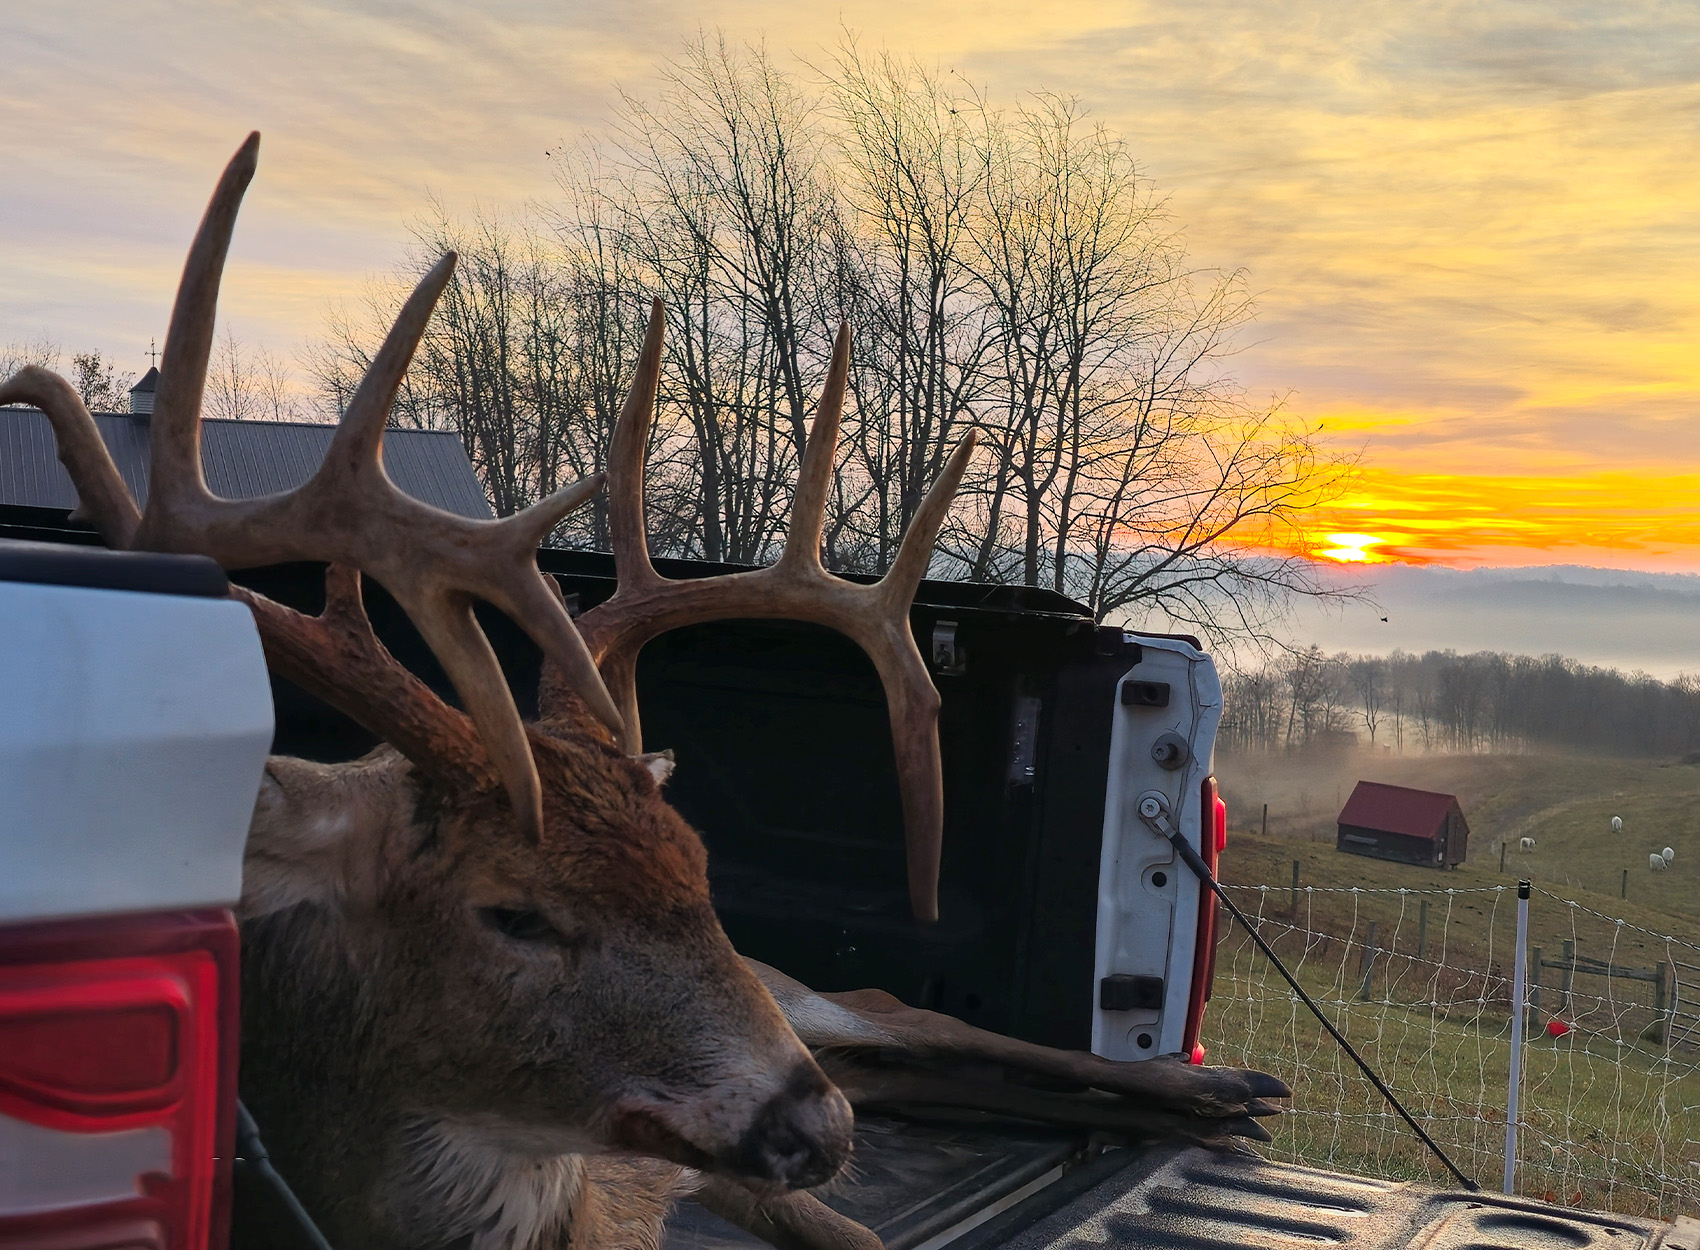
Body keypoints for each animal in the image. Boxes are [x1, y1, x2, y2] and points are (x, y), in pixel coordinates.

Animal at [0, 136, 1278, 1250]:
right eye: (512, 911)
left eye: (699, 871)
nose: (810, 1125)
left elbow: (858, 1219)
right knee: (912, 1063)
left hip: (801, 1002)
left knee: (908, 1013)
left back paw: (1227, 1083)